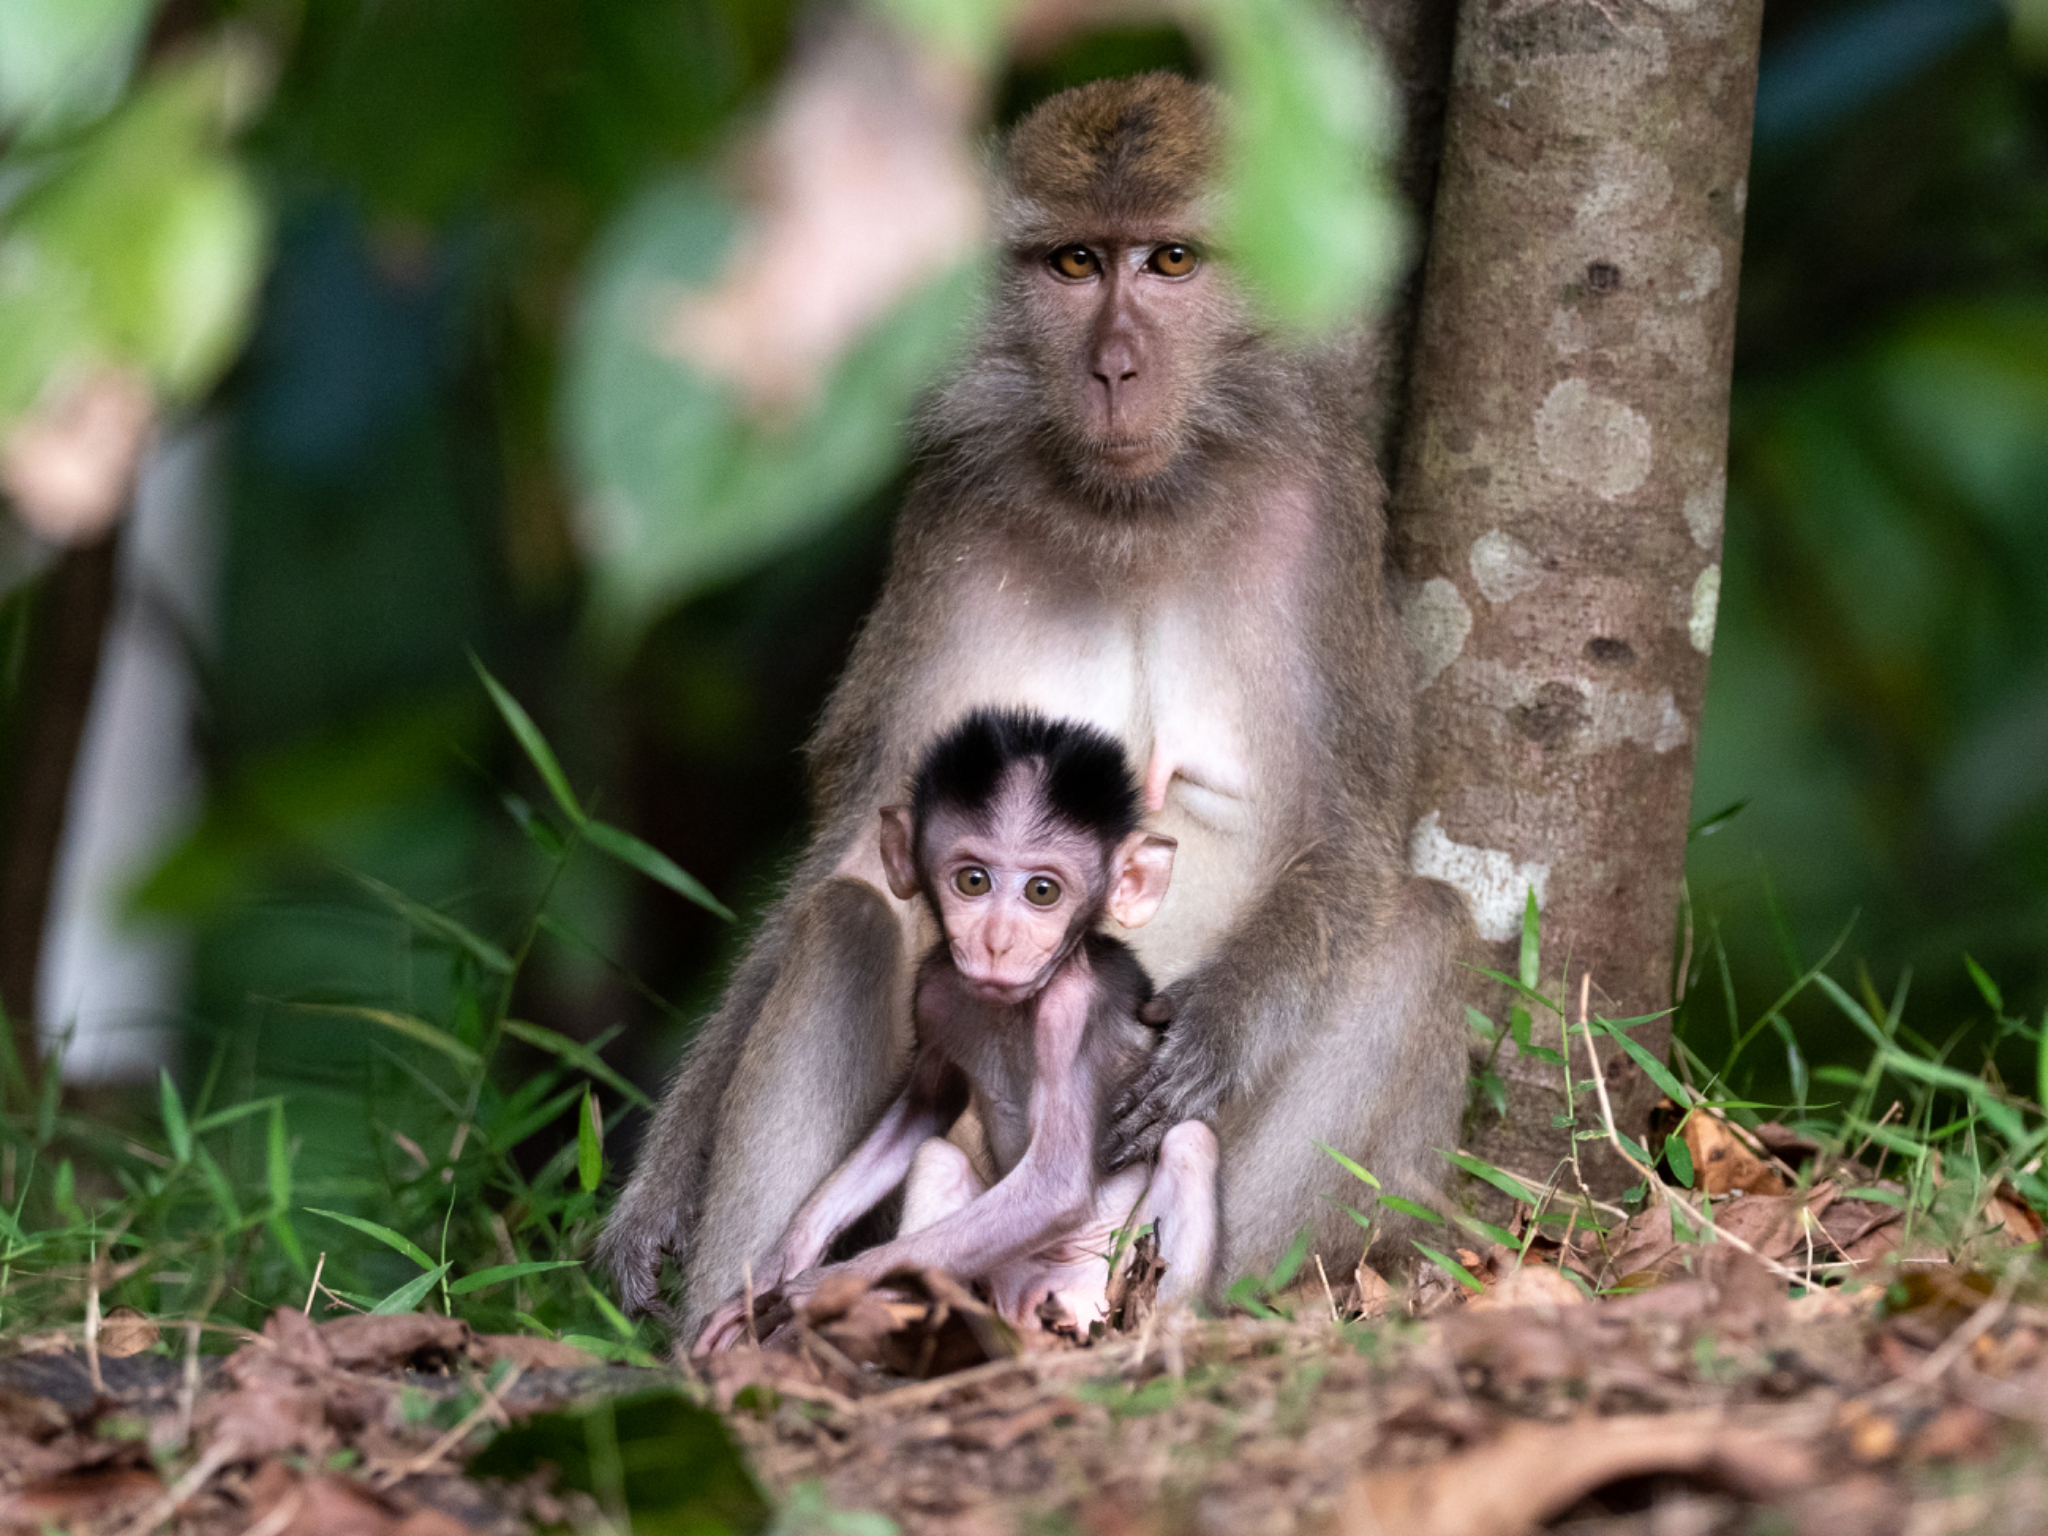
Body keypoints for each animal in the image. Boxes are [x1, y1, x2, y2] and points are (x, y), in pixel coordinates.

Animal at [695, 707, 1217, 1352]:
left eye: (1042, 891)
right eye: (973, 881)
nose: (997, 943)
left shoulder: (1073, 1012)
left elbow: (1057, 1185)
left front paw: (820, 1288)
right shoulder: (935, 993)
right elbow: (927, 1107)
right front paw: (779, 1267)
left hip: (1104, 1279)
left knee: (1191, 1144)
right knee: (936, 1160)